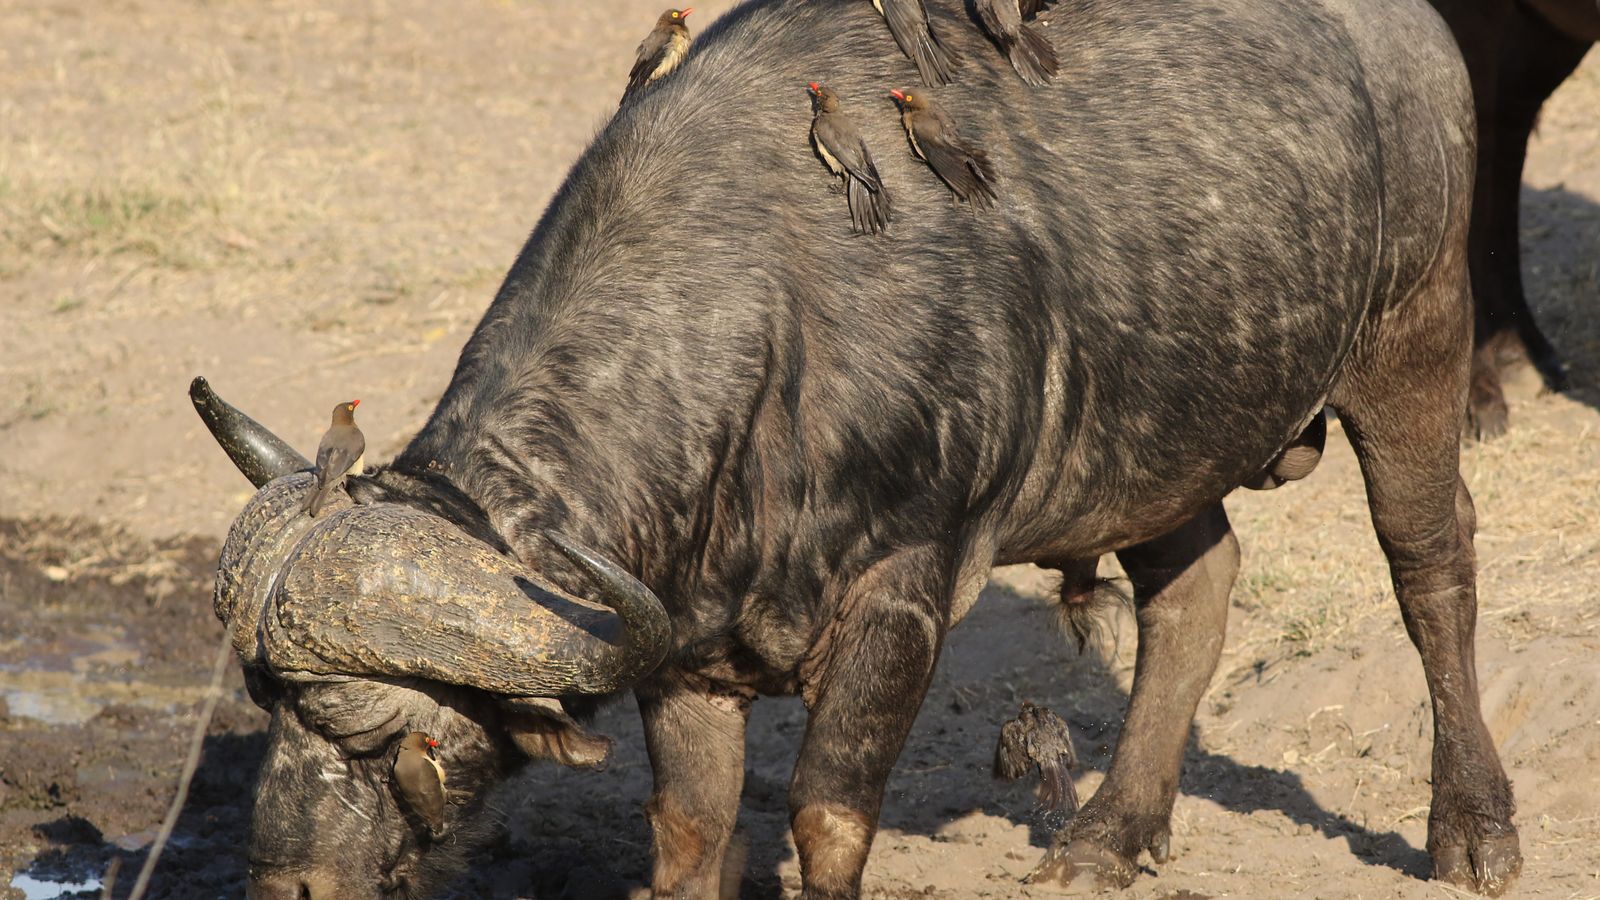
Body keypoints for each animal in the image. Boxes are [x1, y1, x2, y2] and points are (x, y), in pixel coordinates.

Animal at [196, 0, 1521, 897]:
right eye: (264, 706)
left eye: (378, 733)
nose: (291, 883)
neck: (778, 317)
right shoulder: (687, 643)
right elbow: (691, 832)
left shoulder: (904, 595)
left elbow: (828, 820)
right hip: (1157, 438)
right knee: (1195, 589)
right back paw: (1107, 835)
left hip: (1413, 331)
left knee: (1431, 559)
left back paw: (1472, 827)